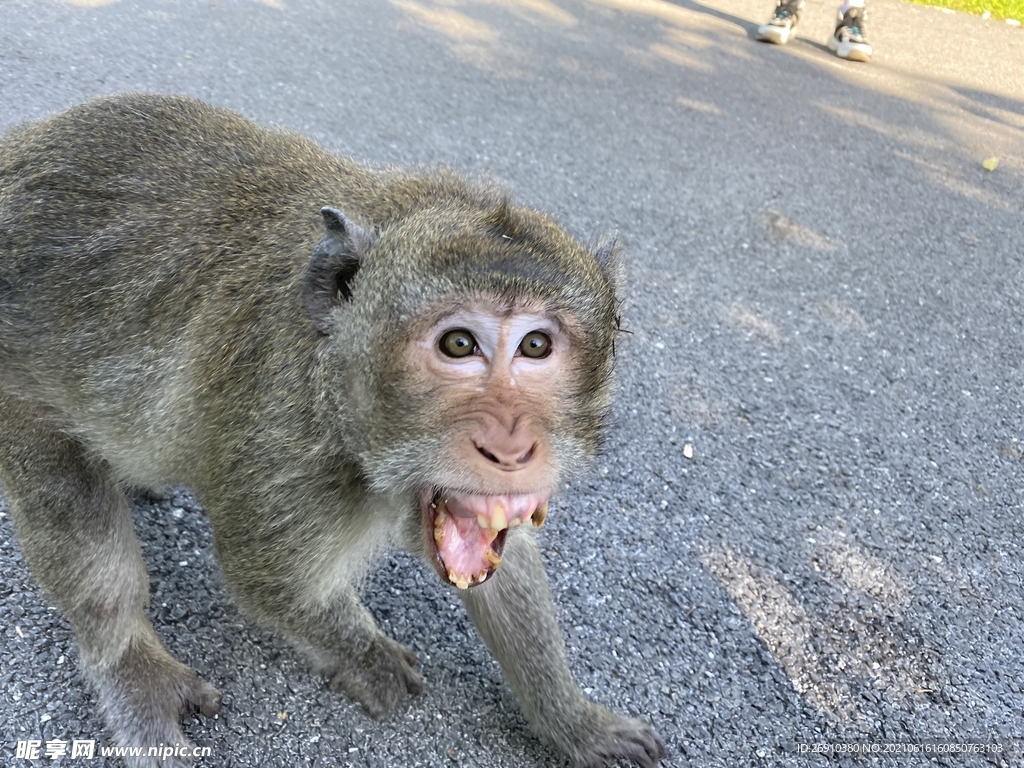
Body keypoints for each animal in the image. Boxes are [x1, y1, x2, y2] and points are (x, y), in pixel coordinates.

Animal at [0, 94, 663, 768]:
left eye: (535, 346)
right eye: (458, 345)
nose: (511, 445)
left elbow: (508, 567)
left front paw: (573, 721)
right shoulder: (281, 441)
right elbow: (268, 577)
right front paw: (363, 653)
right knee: (70, 503)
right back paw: (130, 664)